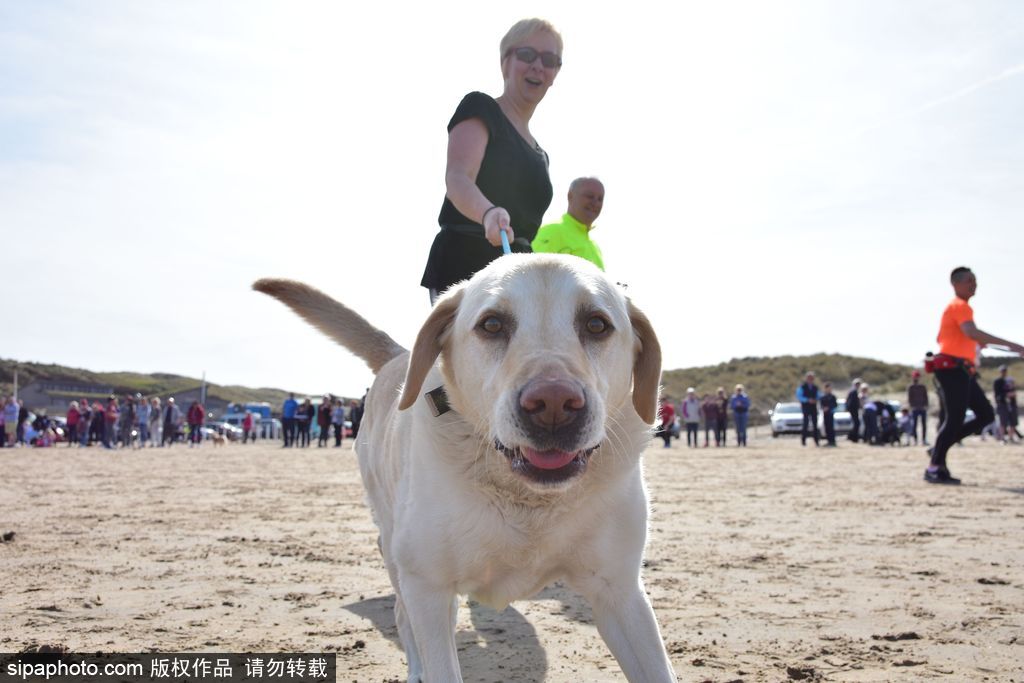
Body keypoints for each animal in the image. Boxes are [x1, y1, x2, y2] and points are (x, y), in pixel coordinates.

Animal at [252, 253, 675, 679]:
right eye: (492, 324)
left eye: (596, 324)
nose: (553, 404)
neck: (528, 500)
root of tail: (399, 355)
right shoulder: (428, 586)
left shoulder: (619, 591)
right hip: (396, 548)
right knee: (404, 615)